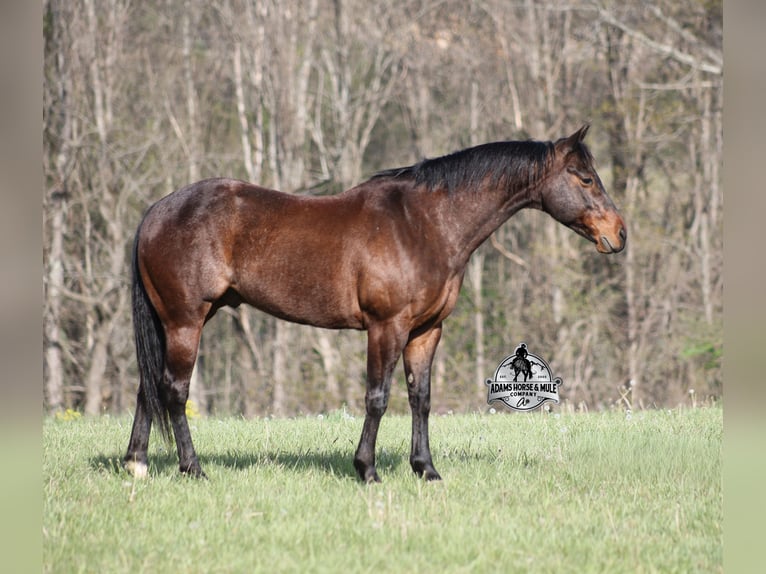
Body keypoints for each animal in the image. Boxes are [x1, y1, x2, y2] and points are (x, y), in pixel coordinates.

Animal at [124, 124, 626, 483]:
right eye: (585, 178)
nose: (619, 233)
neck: (423, 224)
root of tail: (156, 211)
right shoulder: (387, 326)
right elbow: (378, 397)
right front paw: (366, 469)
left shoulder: (426, 331)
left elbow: (420, 398)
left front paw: (426, 469)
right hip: (185, 321)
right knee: (173, 390)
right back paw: (192, 468)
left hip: (173, 323)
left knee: (148, 386)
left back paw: (136, 463)